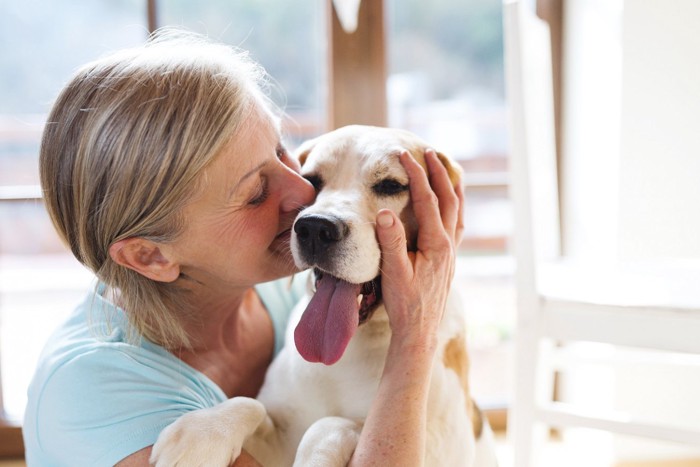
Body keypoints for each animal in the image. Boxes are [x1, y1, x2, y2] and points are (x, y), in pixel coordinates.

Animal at [150, 124, 498, 467]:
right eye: (311, 180)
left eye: (390, 185)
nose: (316, 228)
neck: (351, 350)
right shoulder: (280, 440)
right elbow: (251, 404)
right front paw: (203, 431)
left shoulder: (439, 445)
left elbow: (332, 424)